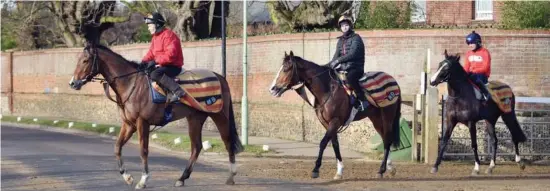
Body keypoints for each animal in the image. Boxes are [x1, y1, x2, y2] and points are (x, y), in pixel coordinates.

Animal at [69, 23, 244, 189]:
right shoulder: (128, 124)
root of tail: (219, 76)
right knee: (196, 147)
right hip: (195, 119)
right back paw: (182, 178)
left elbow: (143, 150)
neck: (131, 83)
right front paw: (127, 177)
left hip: (220, 116)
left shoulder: (142, 123)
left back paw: (231, 176)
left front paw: (143, 180)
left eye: (85, 60)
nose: (73, 83)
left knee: (228, 142)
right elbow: (117, 147)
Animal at [270, 51, 404, 179]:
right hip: (376, 119)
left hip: (387, 116)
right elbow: (335, 144)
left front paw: (316, 169)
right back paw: (389, 167)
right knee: (385, 139)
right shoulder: (327, 123)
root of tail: (393, 81)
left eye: (286, 68)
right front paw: (339, 171)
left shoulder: (334, 121)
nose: (273, 89)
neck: (328, 90)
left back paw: (381, 170)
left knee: (387, 140)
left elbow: (323, 143)